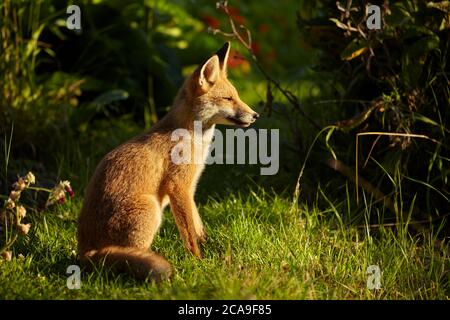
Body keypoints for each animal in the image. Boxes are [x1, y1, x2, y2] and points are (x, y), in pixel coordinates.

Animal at [77, 42, 258, 280]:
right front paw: (199, 262)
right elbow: (189, 234)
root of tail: (85, 253)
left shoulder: (190, 189)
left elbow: (198, 226)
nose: (255, 115)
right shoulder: (178, 186)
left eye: (237, 96)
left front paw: (207, 248)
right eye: (228, 99)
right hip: (150, 209)